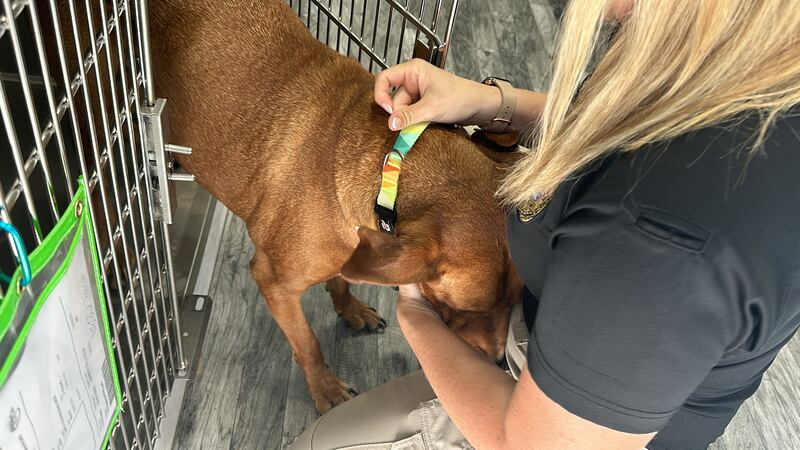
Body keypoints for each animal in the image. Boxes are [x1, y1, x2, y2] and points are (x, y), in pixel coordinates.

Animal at [150, 0, 523, 412]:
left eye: (517, 301)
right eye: (467, 310)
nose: (498, 362)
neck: (391, 164)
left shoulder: (353, 249)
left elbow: (342, 279)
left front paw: (350, 308)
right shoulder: (274, 282)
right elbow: (308, 343)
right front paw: (325, 389)